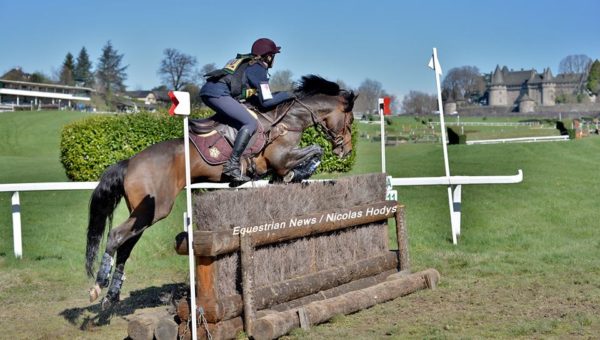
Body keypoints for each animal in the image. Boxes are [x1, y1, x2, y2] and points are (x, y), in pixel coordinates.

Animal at [84, 75, 356, 308]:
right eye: (351, 121)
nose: (346, 151)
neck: (289, 121)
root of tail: (130, 162)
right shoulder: (281, 158)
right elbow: (316, 150)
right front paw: (299, 173)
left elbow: (302, 160)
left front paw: (291, 177)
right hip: (155, 209)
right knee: (116, 236)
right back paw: (99, 284)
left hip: (143, 213)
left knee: (125, 247)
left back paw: (111, 295)